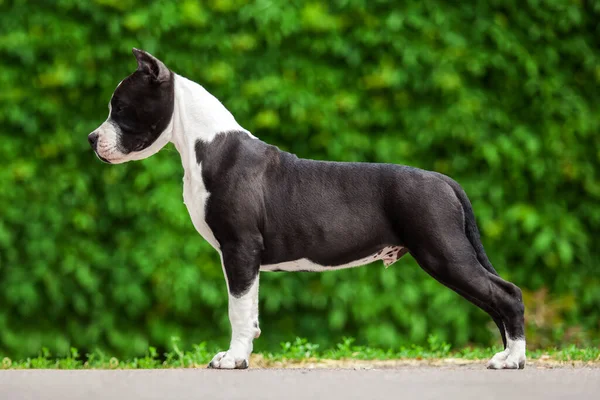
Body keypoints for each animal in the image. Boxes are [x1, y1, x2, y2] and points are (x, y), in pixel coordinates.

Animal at [88, 49, 524, 368]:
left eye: (120, 108)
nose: (91, 138)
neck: (206, 145)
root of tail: (443, 179)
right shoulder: (243, 257)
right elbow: (250, 310)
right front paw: (241, 354)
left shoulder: (240, 248)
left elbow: (237, 309)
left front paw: (233, 359)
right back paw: (506, 354)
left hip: (443, 252)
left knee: (508, 295)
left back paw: (512, 360)